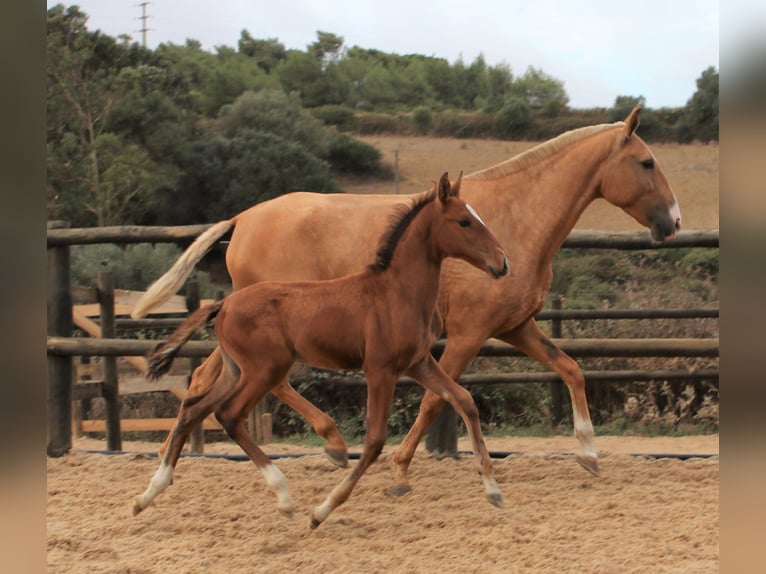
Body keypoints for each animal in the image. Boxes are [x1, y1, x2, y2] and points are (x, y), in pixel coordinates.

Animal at [134, 104, 684, 490]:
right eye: (647, 162)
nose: (674, 223)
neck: (513, 218)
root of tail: (243, 217)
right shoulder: (466, 336)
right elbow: (437, 401)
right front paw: (399, 468)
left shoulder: (515, 327)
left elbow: (571, 369)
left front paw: (589, 454)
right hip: (271, 336)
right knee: (258, 384)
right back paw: (332, 443)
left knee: (205, 381)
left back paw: (168, 466)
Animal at [134, 174, 510, 532]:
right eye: (464, 221)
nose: (503, 262)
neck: (397, 292)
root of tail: (222, 304)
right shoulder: (380, 369)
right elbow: (375, 440)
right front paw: (321, 511)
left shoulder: (418, 363)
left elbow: (463, 400)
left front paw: (493, 491)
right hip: (265, 369)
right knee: (228, 415)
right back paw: (285, 495)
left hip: (235, 370)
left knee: (194, 409)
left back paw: (148, 494)